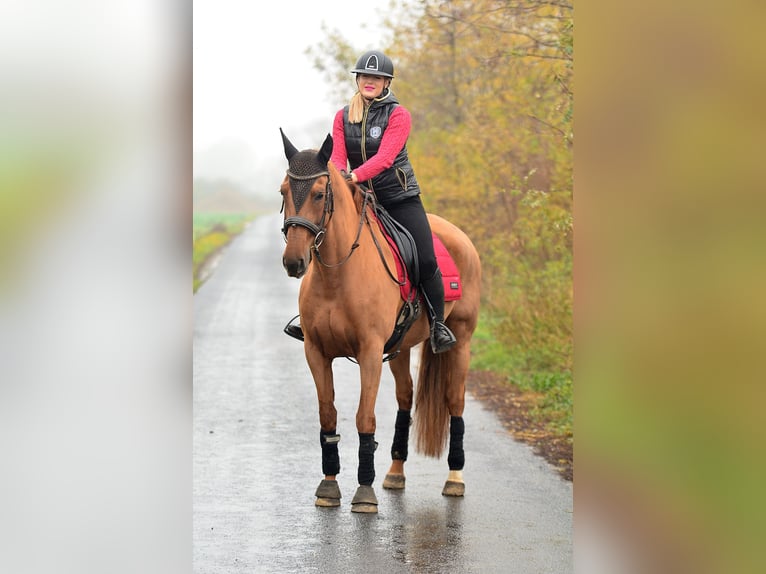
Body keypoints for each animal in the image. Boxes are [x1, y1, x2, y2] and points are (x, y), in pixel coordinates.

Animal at [280, 133, 484, 516]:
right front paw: (329, 486)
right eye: (283, 190)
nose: (293, 262)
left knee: (455, 400)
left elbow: (365, 417)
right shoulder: (316, 352)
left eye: (319, 194)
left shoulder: (370, 353)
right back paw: (395, 473)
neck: (338, 275)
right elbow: (328, 415)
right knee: (406, 397)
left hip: (462, 339)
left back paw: (455, 478)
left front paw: (364, 492)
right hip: (401, 348)